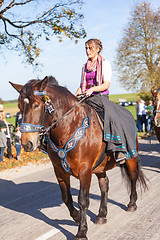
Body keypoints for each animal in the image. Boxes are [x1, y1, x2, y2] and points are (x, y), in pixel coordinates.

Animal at [9, 76, 148, 240]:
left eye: (36, 105)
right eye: (19, 106)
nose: (26, 143)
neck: (69, 127)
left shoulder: (85, 170)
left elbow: (82, 200)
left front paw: (82, 231)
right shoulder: (60, 171)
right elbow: (66, 198)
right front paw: (76, 217)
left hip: (130, 158)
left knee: (133, 178)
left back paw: (132, 204)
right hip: (100, 167)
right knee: (104, 185)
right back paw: (102, 215)